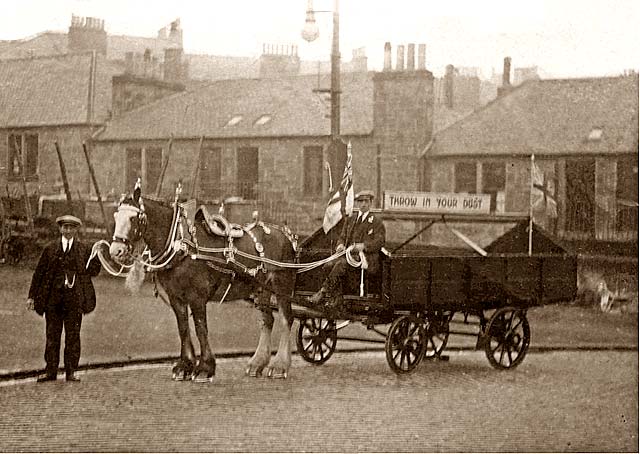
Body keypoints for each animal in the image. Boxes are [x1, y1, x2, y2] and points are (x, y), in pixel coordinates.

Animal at [108, 184, 298, 380]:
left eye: (133, 218)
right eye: (116, 216)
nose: (116, 251)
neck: (181, 245)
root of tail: (286, 236)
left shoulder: (197, 296)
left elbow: (201, 329)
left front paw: (205, 368)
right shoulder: (176, 297)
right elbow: (183, 328)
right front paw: (185, 366)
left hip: (282, 286)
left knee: (286, 319)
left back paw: (280, 365)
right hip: (262, 289)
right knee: (268, 321)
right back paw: (257, 363)